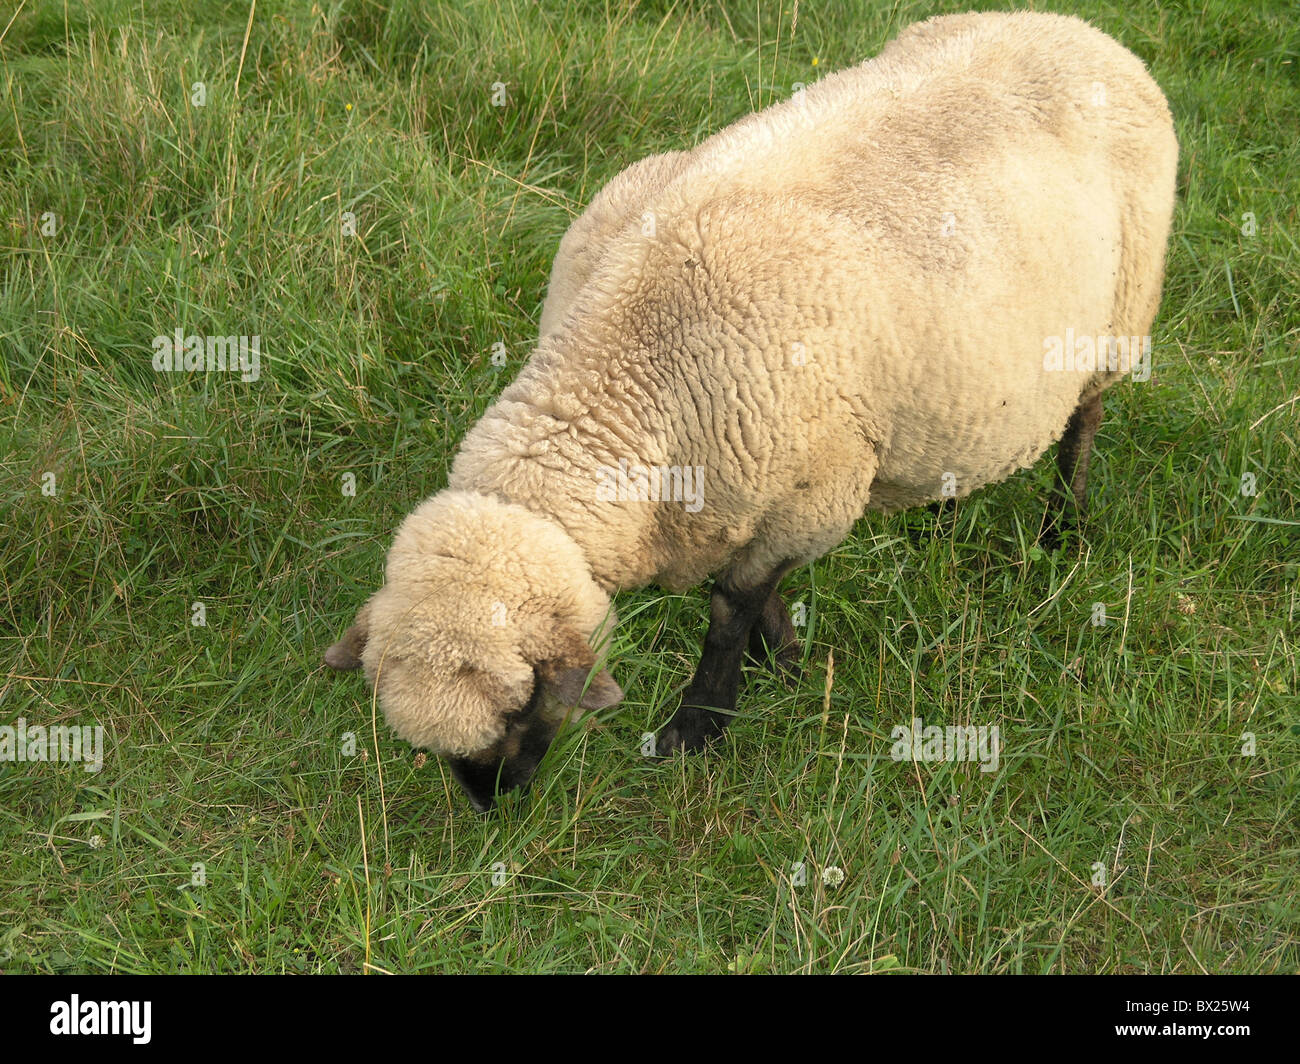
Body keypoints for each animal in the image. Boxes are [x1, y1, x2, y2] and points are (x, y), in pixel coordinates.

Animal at [325, 8, 1180, 806]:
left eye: (519, 707)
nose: (492, 807)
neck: (629, 367)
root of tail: (1081, 30)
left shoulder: (815, 494)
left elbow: (731, 604)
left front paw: (702, 722)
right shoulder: (728, 499)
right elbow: (747, 591)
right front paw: (787, 659)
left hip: (1118, 319)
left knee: (1084, 424)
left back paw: (1064, 529)